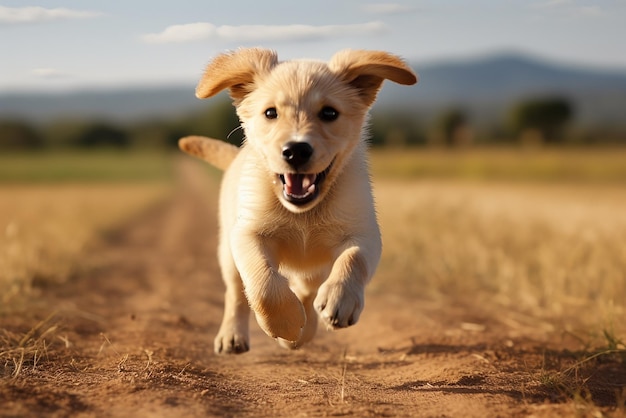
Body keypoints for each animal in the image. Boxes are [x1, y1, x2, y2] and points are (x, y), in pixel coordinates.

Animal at [178, 47, 416, 352]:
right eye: (270, 113)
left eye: (329, 112)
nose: (296, 151)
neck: (303, 213)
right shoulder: (247, 233)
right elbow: (263, 283)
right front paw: (286, 322)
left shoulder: (364, 232)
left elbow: (353, 259)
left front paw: (340, 300)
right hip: (227, 252)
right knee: (236, 293)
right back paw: (234, 336)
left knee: (306, 287)